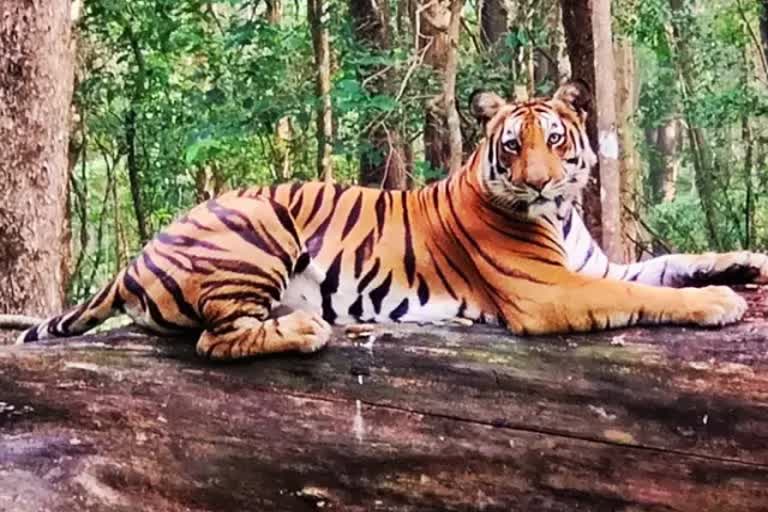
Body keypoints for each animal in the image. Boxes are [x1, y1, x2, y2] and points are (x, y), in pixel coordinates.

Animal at [12, 81, 768, 360]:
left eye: (555, 141)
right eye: (512, 146)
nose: (539, 181)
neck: (559, 215)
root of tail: (134, 256)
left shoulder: (592, 263)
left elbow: (671, 262)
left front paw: (746, 262)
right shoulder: (552, 291)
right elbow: (646, 293)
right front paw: (719, 302)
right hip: (259, 221)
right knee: (215, 340)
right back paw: (306, 327)